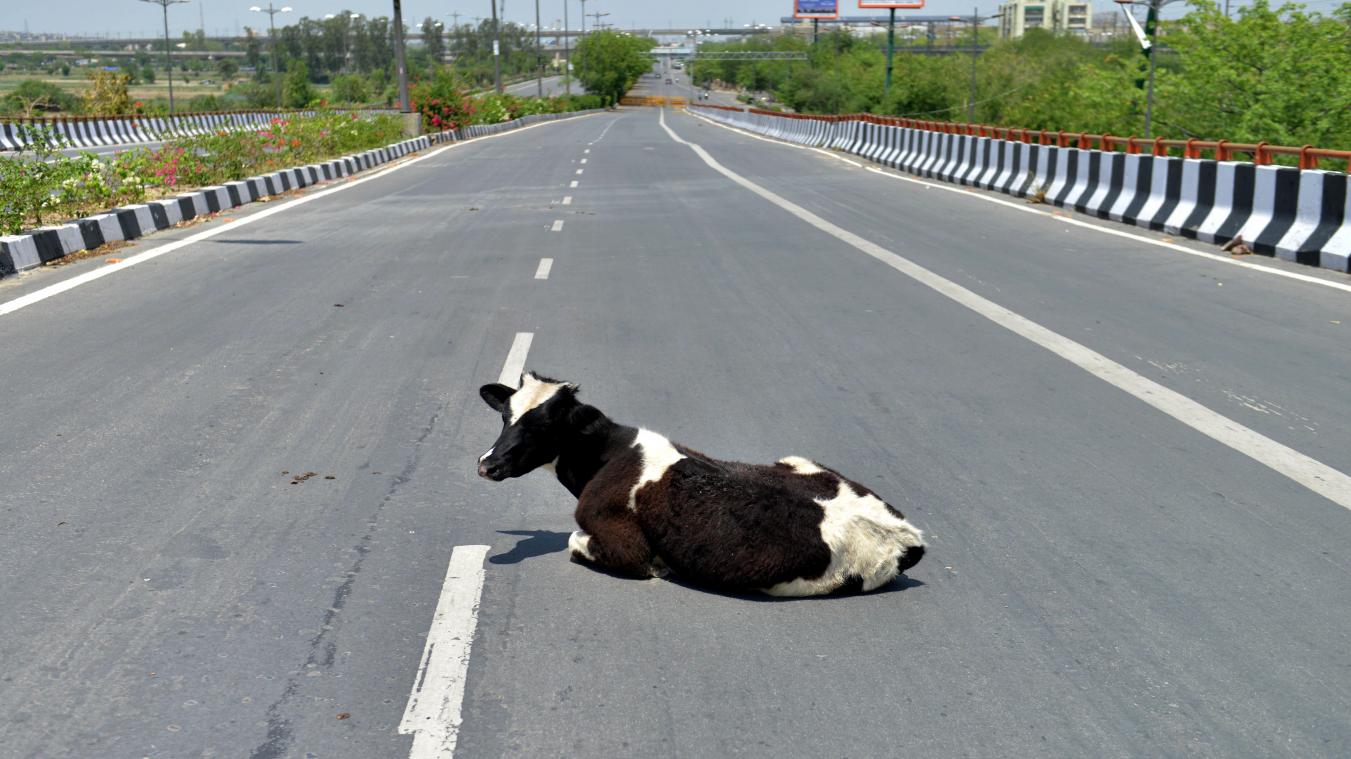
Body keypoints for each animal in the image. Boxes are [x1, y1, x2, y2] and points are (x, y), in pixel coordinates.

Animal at [477, 372, 925, 596]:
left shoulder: (627, 547)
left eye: (544, 425)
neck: (608, 455)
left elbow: (575, 541)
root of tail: (909, 534)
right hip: (799, 460)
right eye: (505, 415)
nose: (487, 464)